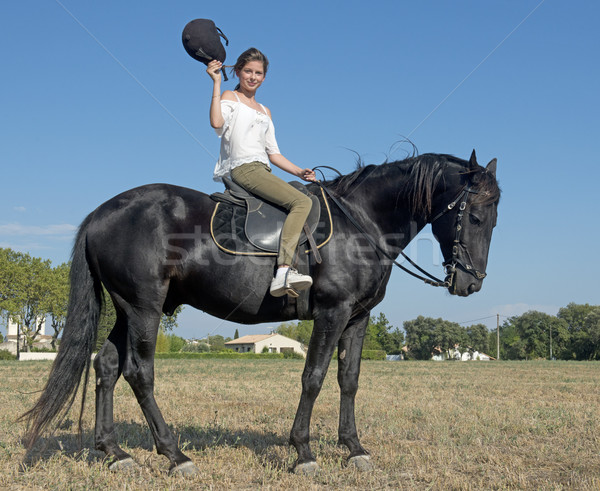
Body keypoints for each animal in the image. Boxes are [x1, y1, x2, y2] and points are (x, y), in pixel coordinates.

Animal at [22, 151, 502, 476]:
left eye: (494, 220)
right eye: (476, 217)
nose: (471, 283)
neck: (363, 224)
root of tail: (102, 213)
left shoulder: (358, 317)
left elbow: (349, 380)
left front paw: (354, 448)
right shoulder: (332, 313)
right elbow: (314, 377)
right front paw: (303, 452)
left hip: (126, 310)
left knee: (105, 365)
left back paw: (114, 452)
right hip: (144, 308)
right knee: (139, 372)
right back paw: (174, 454)